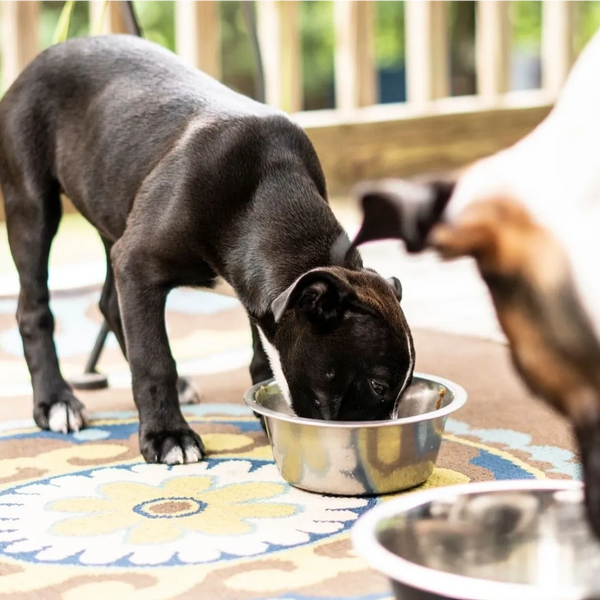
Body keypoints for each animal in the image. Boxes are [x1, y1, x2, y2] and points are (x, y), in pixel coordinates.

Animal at [0, 34, 414, 464]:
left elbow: (258, 354)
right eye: (379, 386)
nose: (386, 442)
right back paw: (55, 401)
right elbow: (154, 358)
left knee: (110, 304)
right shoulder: (137, 263)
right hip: (31, 204)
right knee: (34, 309)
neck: (263, 196)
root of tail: (45, 56)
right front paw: (168, 435)